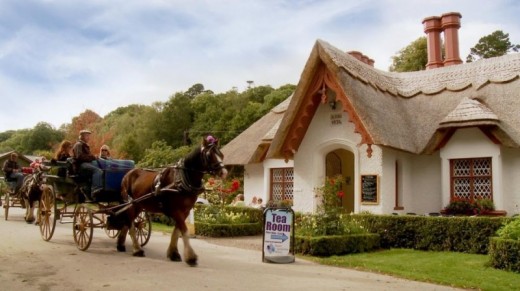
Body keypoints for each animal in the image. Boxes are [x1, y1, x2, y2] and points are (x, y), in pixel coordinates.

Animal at [117, 137, 226, 266]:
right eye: (209, 155)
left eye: (221, 154)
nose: (224, 172)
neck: (182, 179)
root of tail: (128, 174)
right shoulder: (176, 211)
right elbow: (184, 231)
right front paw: (191, 257)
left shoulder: (185, 211)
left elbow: (177, 232)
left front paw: (173, 254)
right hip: (130, 204)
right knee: (130, 224)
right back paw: (137, 250)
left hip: (138, 205)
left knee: (127, 222)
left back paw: (121, 244)